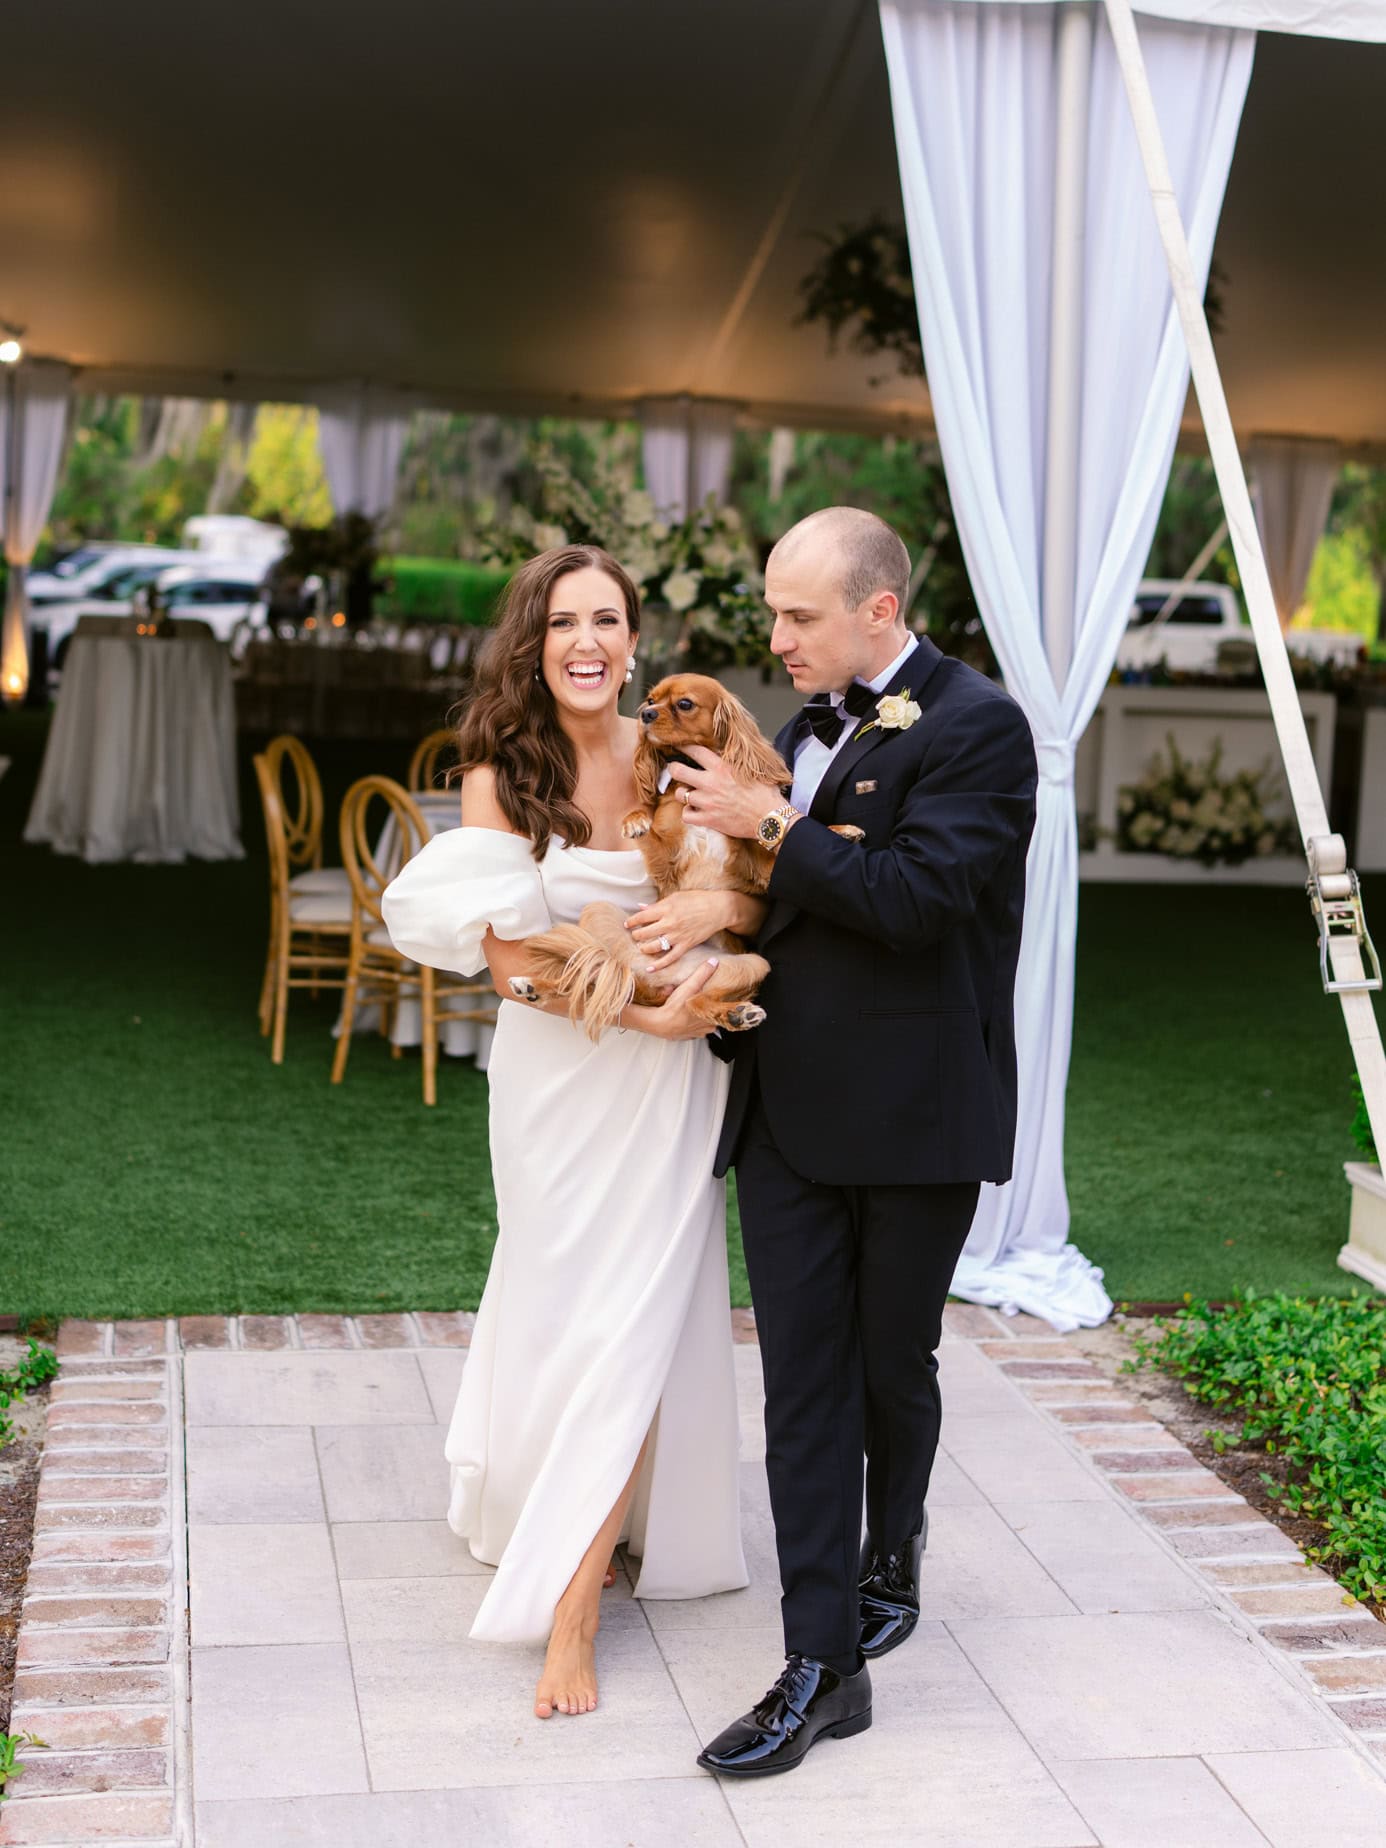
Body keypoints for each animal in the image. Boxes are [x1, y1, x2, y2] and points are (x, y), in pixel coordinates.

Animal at [506, 672, 864, 1034]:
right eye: (651, 700)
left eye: (685, 704)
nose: (646, 715)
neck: (696, 778)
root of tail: (658, 986)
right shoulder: (669, 861)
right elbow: (651, 829)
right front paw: (635, 819)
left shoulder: (757, 867)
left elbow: (776, 844)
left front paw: (841, 830)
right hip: (599, 911)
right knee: (593, 975)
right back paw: (535, 985)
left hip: (750, 964)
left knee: (690, 1000)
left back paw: (737, 1013)